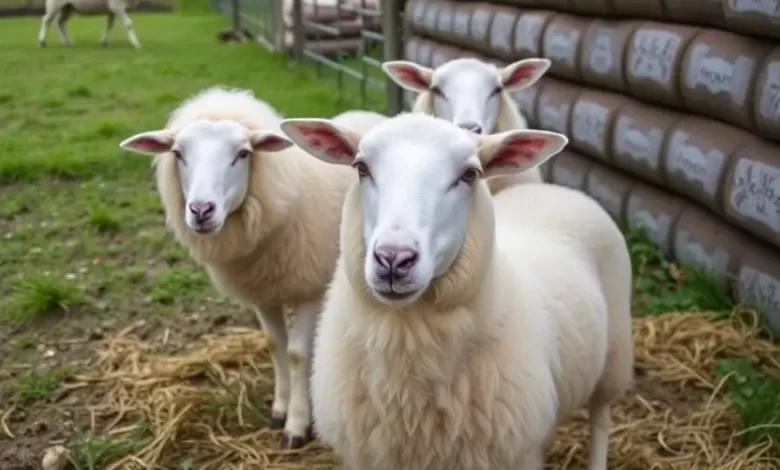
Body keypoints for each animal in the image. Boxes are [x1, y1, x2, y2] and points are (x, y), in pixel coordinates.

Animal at [117, 86, 356, 449]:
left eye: (243, 154)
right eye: (178, 153)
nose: (201, 210)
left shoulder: (310, 288)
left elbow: (297, 353)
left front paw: (297, 425)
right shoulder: (262, 291)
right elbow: (276, 345)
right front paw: (280, 408)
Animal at [278, 112, 634, 470]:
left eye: (469, 174)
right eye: (361, 167)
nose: (394, 259)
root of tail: (557, 191)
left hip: (614, 357)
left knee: (601, 419)